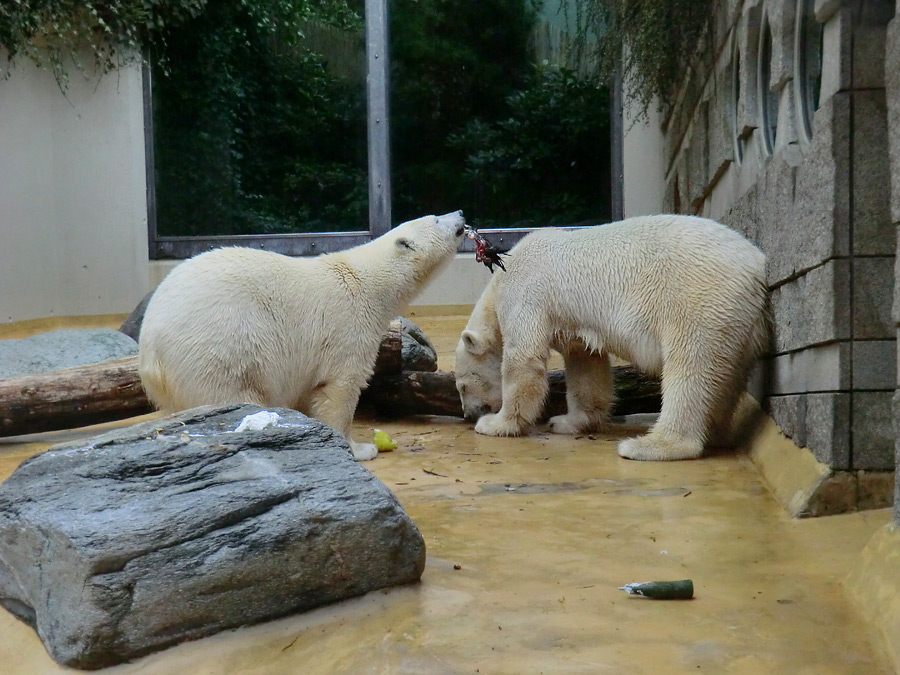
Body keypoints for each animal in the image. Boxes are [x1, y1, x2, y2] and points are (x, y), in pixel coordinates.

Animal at [139, 214, 472, 462]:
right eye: (436, 219)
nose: (460, 214)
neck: (366, 280)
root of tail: (150, 348)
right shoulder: (347, 324)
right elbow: (339, 389)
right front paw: (359, 448)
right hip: (219, 344)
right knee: (234, 391)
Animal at [454, 214, 768, 462]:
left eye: (462, 386)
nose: (469, 415)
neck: (496, 286)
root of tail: (756, 266)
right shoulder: (572, 322)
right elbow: (585, 364)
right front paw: (566, 421)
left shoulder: (526, 294)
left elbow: (524, 359)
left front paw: (495, 423)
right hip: (739, 322)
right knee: (725, 375)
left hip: (699, 298)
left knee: (690, 369)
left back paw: (649, 445)